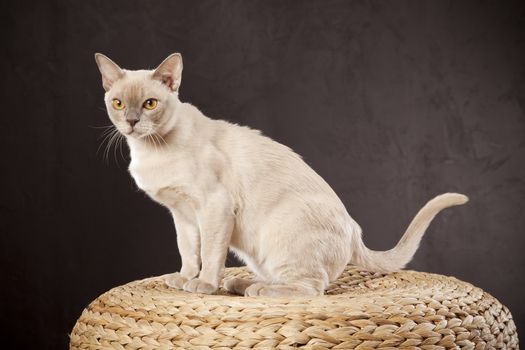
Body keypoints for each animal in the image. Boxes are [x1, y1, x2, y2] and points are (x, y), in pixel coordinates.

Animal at [94, 52, 466, 296]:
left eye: (150, 104)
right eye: (118, 104)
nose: (131, 121)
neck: (151, 151)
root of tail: (354, 230)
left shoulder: (213, 208)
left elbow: (210, 255)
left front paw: (203, 286)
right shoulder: (182, 215)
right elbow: (188, 252)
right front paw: (184, 279)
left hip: (279, 233)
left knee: (311, 288)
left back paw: (252, 290)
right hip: (258, 252)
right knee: (284, 279)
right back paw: (242, 283)